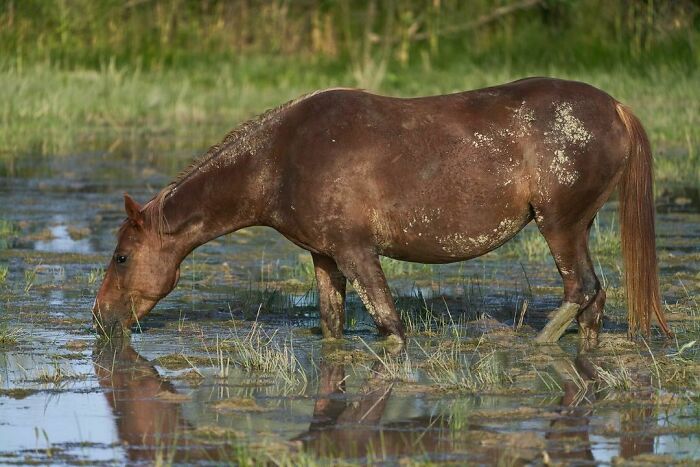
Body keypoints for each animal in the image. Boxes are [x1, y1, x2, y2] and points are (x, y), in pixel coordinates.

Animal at [93, 77, 672, 344]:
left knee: (582, 290)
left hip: (560, 226)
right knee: (594, 300)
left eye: (121, 258)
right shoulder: (326, 258)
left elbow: (390, 326)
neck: (280, 157)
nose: (99, 318)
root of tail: (614, 107)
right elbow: (332, 326)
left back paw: (532, 347)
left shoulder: (358, 252)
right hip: (580, 226)